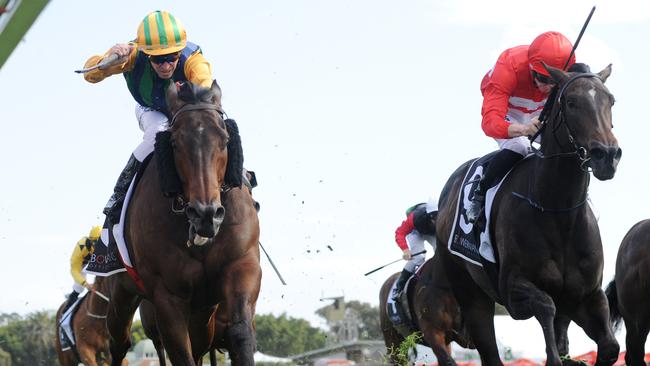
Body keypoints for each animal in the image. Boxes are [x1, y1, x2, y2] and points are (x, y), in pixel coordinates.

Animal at [105, 81, 260, 366]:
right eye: (175, 143)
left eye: (225, 140)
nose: (205, 213)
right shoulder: (167, 295)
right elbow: (180, 353)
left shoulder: (242, 265)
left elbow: (240, 333)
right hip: (122, 291)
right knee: (119, 343)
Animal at [432, 65, 620, 366]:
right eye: (571, 102)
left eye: (610, 100)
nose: (608, 155)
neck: (557, 211)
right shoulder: (513, 288)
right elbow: (545, 309)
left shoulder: (588, 296)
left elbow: (610, 347)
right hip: (470, 292)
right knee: (490, 350)